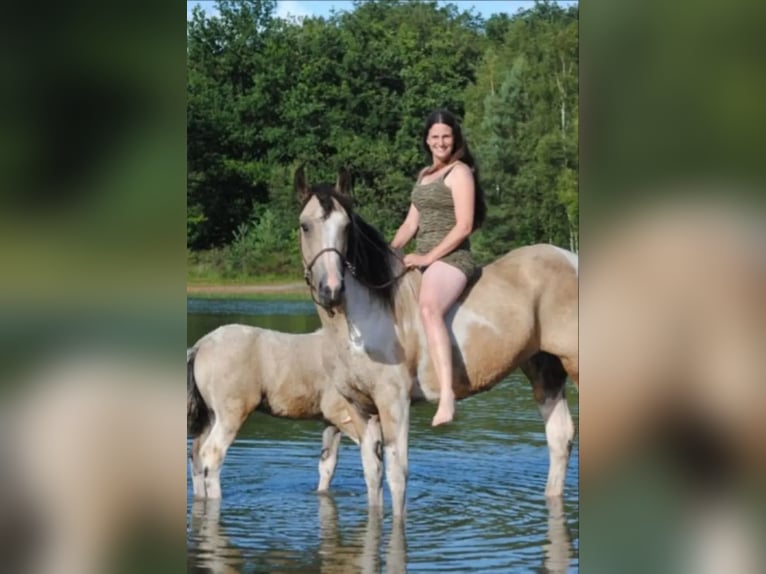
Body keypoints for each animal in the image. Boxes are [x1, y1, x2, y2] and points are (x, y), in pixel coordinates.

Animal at [187, 324, 383, 499]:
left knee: (196, 455)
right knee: (212, 454)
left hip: (211, 417)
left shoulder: (331, 422)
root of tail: (201, 344)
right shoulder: (345, 414)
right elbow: (372, 459)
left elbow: (328, 464)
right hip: (230, 415)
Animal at [295, 166, 579, 518]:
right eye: (305, 225)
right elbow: (372, 476)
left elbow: (397, 478)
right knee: (559, 437)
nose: (331, 290)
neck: (362, 321)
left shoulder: (395, 403)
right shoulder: (360, 407)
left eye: (347, 227)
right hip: (543, 368)